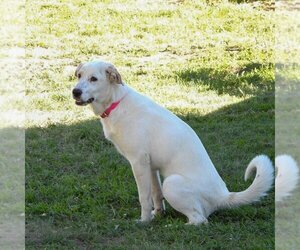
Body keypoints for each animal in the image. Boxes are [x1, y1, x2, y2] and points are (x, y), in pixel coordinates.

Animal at [72, 60, 274, 225]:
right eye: (79, 75)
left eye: (94, 79)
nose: (75, 92)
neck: (116, 103)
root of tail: (224, 196)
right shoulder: (151, 166)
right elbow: (156, 194)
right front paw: (158, 215)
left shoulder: (138, 162)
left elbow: (144, 197)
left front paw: (144, 221)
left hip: (172, 183)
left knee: (200, 220)